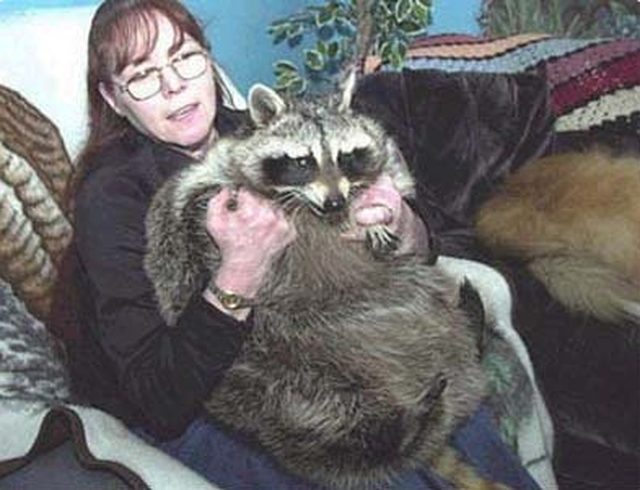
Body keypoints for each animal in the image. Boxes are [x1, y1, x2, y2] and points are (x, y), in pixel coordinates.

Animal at [145, 82, 502, 489]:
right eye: (303, 162)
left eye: (346, 156)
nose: (335, 201)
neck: (310, 208)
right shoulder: (211, 176)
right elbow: (184, 206)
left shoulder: (381, 156)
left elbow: (394, 181)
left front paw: (371, 211)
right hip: (273, 374)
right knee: (317, 413)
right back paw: (389, 439)